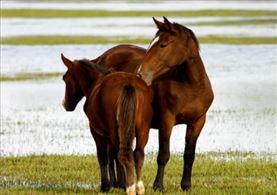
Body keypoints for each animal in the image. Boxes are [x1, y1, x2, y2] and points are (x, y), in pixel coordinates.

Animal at [60, 54, 152, 194]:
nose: (65, 104)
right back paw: (139, 187)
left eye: (65, 78)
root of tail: (128, 84)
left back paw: (129, 187)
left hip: (116, 130)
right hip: (142, 130)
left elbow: (103, 157)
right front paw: (117, 183)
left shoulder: (97, 132)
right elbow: (112, 155)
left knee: (123, 154)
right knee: (138, 154)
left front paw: (107, 185)